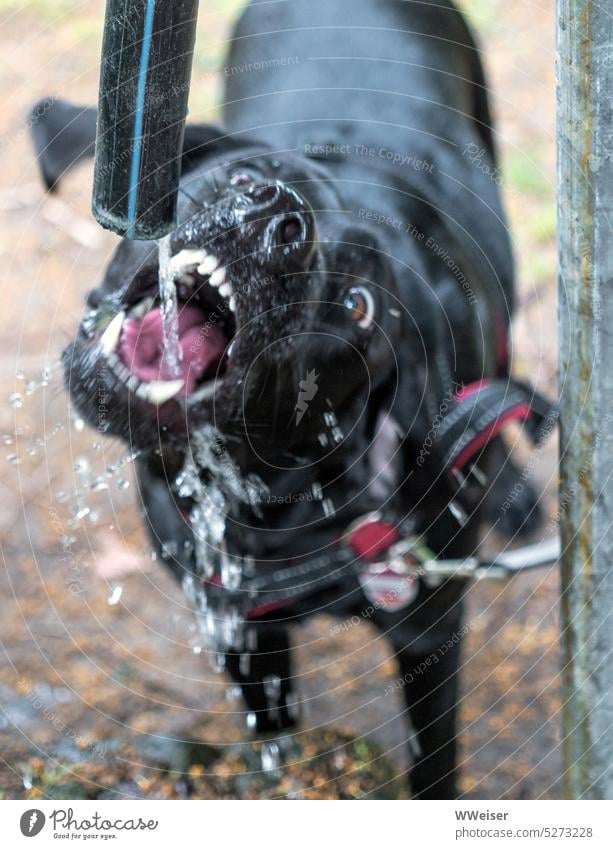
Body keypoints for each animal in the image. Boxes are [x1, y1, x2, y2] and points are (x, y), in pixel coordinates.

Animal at [28, 0, 548, 800]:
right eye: (248, 173)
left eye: (359, 305)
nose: (279, 221)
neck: (264, 508)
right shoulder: (241, 629)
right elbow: (273, 739)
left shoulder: (429, 633)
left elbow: (433, 766)